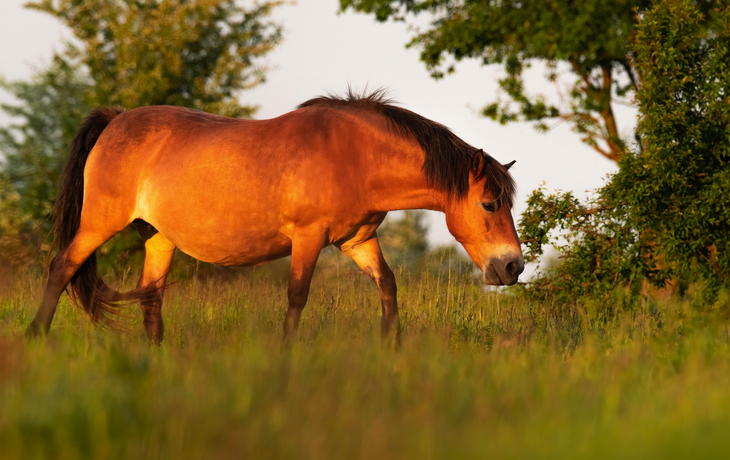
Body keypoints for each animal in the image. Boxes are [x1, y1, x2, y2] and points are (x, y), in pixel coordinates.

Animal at [26, 90, 524, 344]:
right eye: (489, 204)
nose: (512, 267)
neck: (354, 156)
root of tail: (116, 119)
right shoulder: (308, 238)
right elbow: (297, 297)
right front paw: (286, 356)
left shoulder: (357, 241)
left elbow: (388, 286)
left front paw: (390, 346)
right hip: (99, 223)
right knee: (62, 267)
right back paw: (35, 336)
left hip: (159, 238)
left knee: (151, 296)